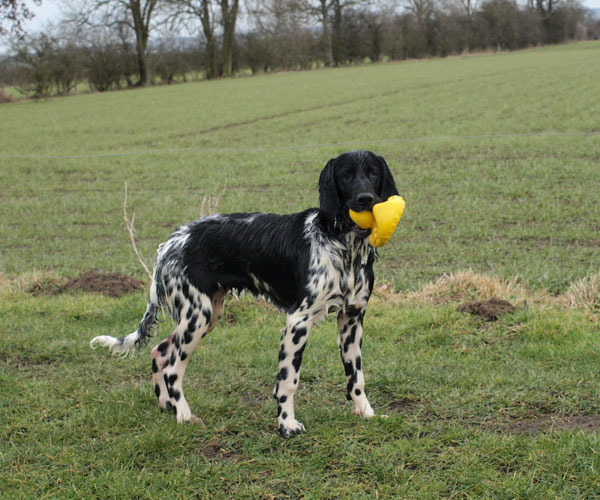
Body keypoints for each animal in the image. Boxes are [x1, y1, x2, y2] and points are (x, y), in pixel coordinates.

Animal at [91, 149, 400, 438]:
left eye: (373, 172)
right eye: (346, 175)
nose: (365, 199)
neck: (344, 248)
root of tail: (169, 243)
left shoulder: (352, 318)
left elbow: (356, 377)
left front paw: (367, 413)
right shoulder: (297, 321)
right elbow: (288, 381)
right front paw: (287, 425)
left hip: (205, 314)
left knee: (160, 351)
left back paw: (167, 405)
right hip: (197, 317)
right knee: (172, 369)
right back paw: (185, 415)